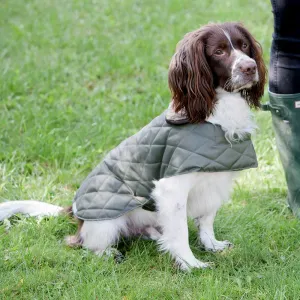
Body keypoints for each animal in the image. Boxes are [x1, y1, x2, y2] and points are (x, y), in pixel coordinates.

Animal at [1, 22, 266, 272]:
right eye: (219, 51)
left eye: (244, 46)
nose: (250, 67)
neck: (217, 114)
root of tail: (75, 213)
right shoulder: (172, 188)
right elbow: (180, 231)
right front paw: (190, 264)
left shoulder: (215, 181)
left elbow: (207, 219)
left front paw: (212, 246)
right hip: (107, 220)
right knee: (82, 243)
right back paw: (109, 253)